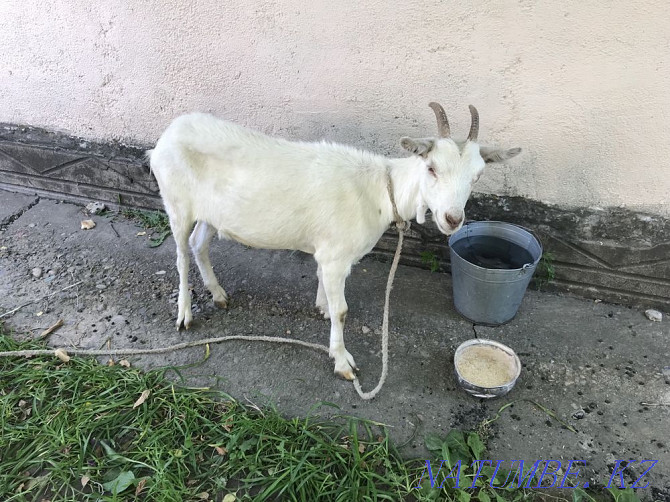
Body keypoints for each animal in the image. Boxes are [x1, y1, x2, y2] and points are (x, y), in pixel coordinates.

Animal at [150, 104, 524, 378]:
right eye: (431, 167)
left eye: (477, 175)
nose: (452, 219)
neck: (380, 189)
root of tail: (165, 136)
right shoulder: (336, 256)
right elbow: (342, 311)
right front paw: (343, 362)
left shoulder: (327, 254)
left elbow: (326, 293)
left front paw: (321, 306)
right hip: (177, 203)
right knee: (181, 254)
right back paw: (185, 314)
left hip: (211, 213)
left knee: (199, 244)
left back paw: (218, 294)